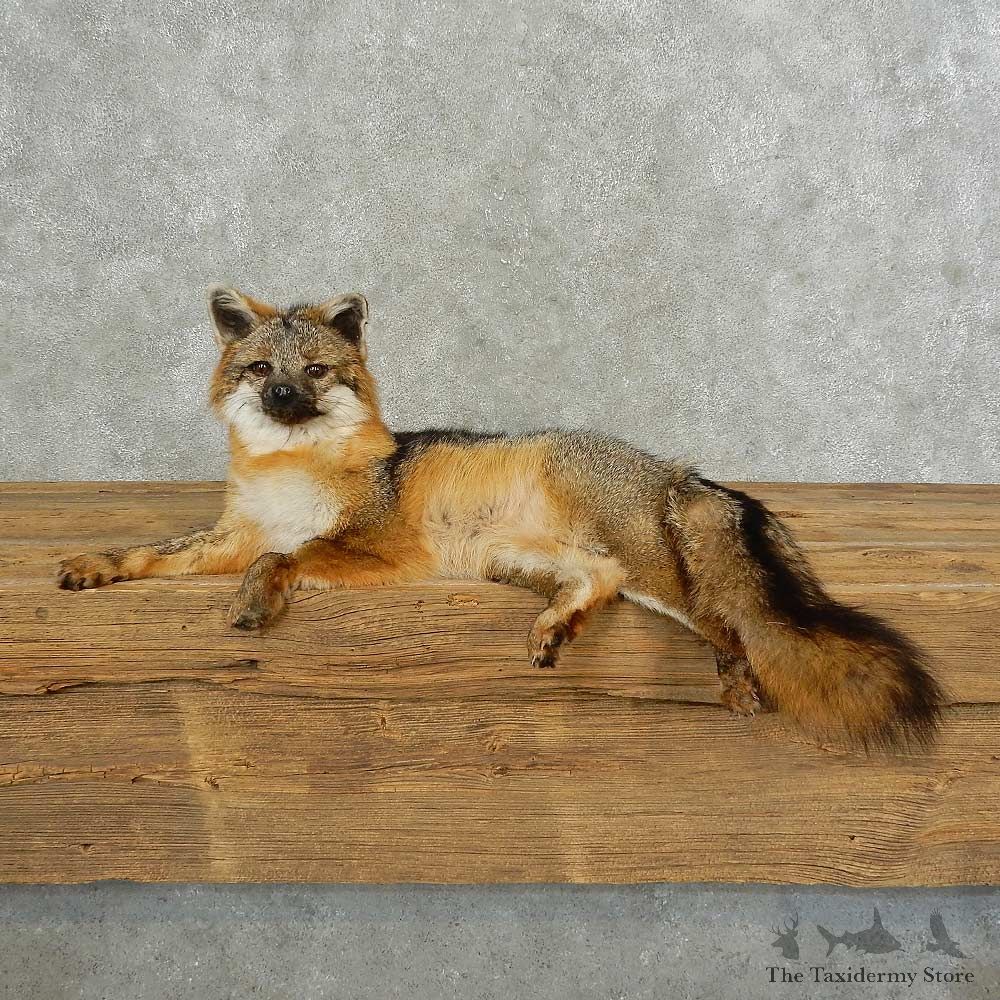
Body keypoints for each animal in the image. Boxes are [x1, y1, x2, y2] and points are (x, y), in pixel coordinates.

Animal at [57, 286, 943, 747]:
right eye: (260, 369)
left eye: (314, 372)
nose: (281, 397)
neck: (289, 473)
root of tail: (674, 467)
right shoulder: (233, 532)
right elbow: (156, 552)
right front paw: (98, 564)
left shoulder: (368, 547)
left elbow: (282, 558)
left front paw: (253, 597)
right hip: (514, 560)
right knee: (599, 582)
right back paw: (557, 628)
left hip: (660, 579)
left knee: (727, 622)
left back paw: (734, 677)